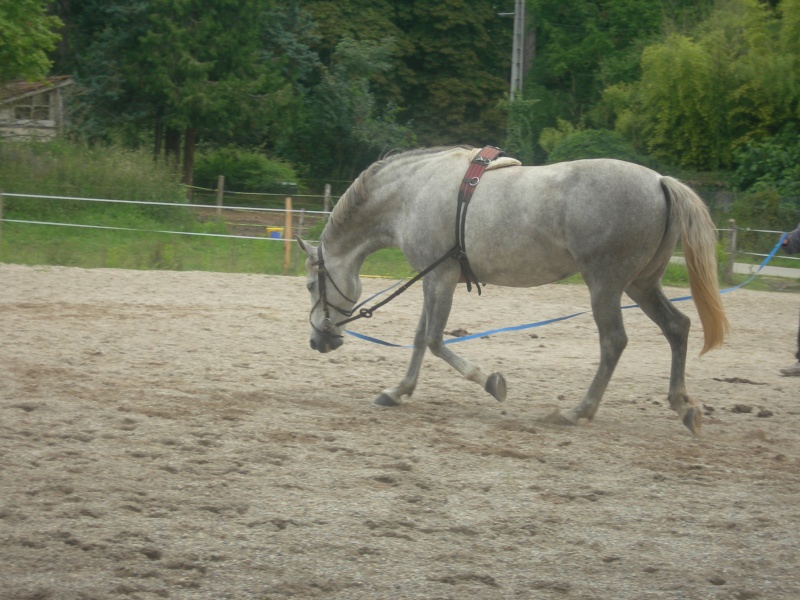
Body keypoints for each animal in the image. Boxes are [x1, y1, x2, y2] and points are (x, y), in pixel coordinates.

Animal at [296, 148, 728, 434]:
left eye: (310, 284)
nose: (318, 340)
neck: (412, 194)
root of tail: (659, 181)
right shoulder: (433, 279)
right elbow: (420, 339)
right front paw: (397, 391)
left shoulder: (440, 279)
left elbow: (434, 341)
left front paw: (490, 381)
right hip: (642, 284)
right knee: (677, 327)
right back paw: (682, 406)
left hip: (605, 285)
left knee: (614, 342)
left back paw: (578, 411)